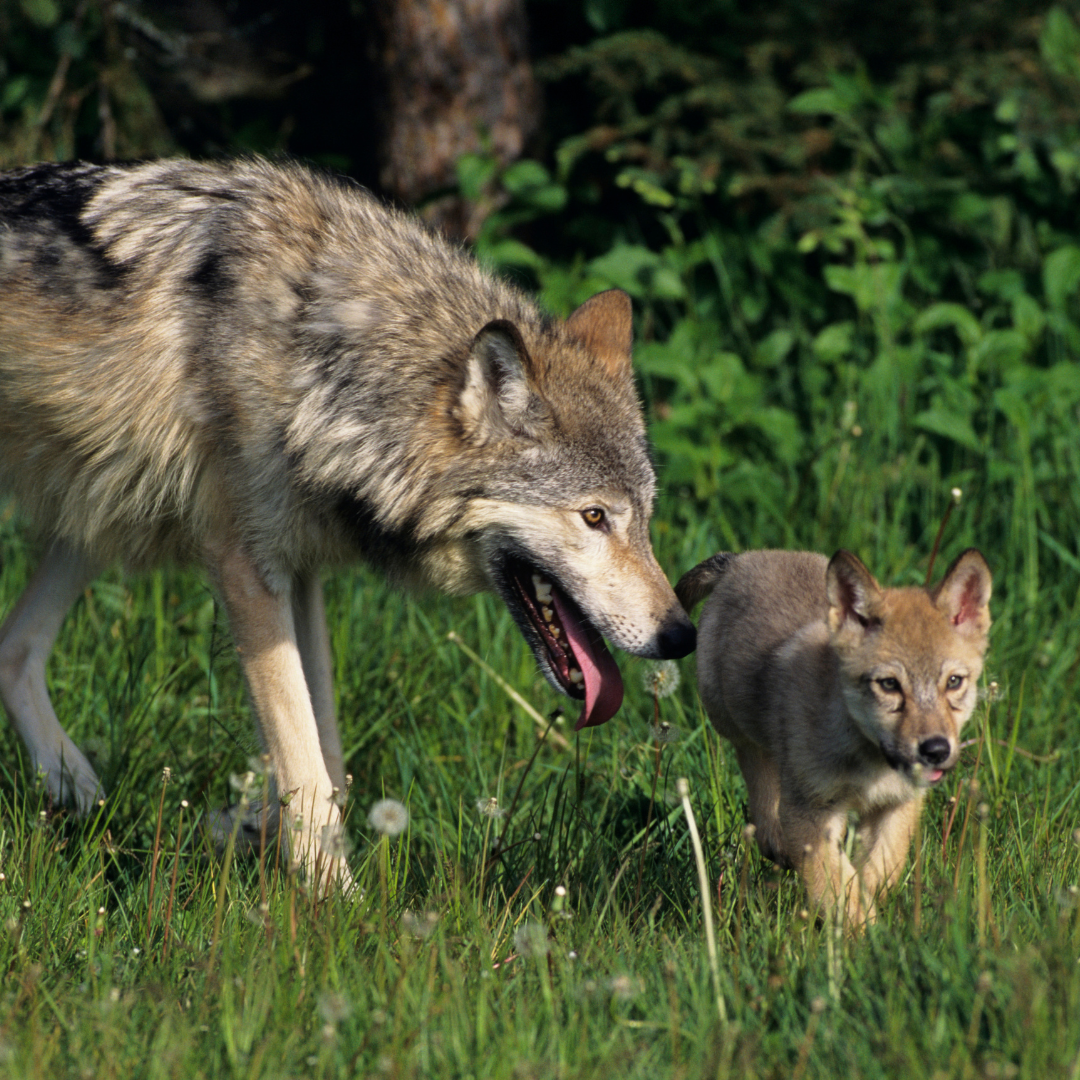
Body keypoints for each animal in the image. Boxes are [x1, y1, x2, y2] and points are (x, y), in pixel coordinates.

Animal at [0, 157, 695, 886]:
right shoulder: (247, 569)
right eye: (594, 517)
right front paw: (336, 899)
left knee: (12, 648)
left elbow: (325, 750)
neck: (319, 365)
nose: (683, 635)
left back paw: (77, 791)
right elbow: (304, 763)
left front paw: (282, 850)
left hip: (98, 513)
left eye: (644, 518)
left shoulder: (300, 570)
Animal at [677, 547, 991, 927]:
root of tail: (741, 559)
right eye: (889, 685)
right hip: (734, 721)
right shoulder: (812, 813)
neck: (871, 766)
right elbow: (840, 888)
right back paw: (774, 837)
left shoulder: (897, 806)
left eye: (954, 682)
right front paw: (866, 935)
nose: (935, 750)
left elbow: (877, 873)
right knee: (761, 777)